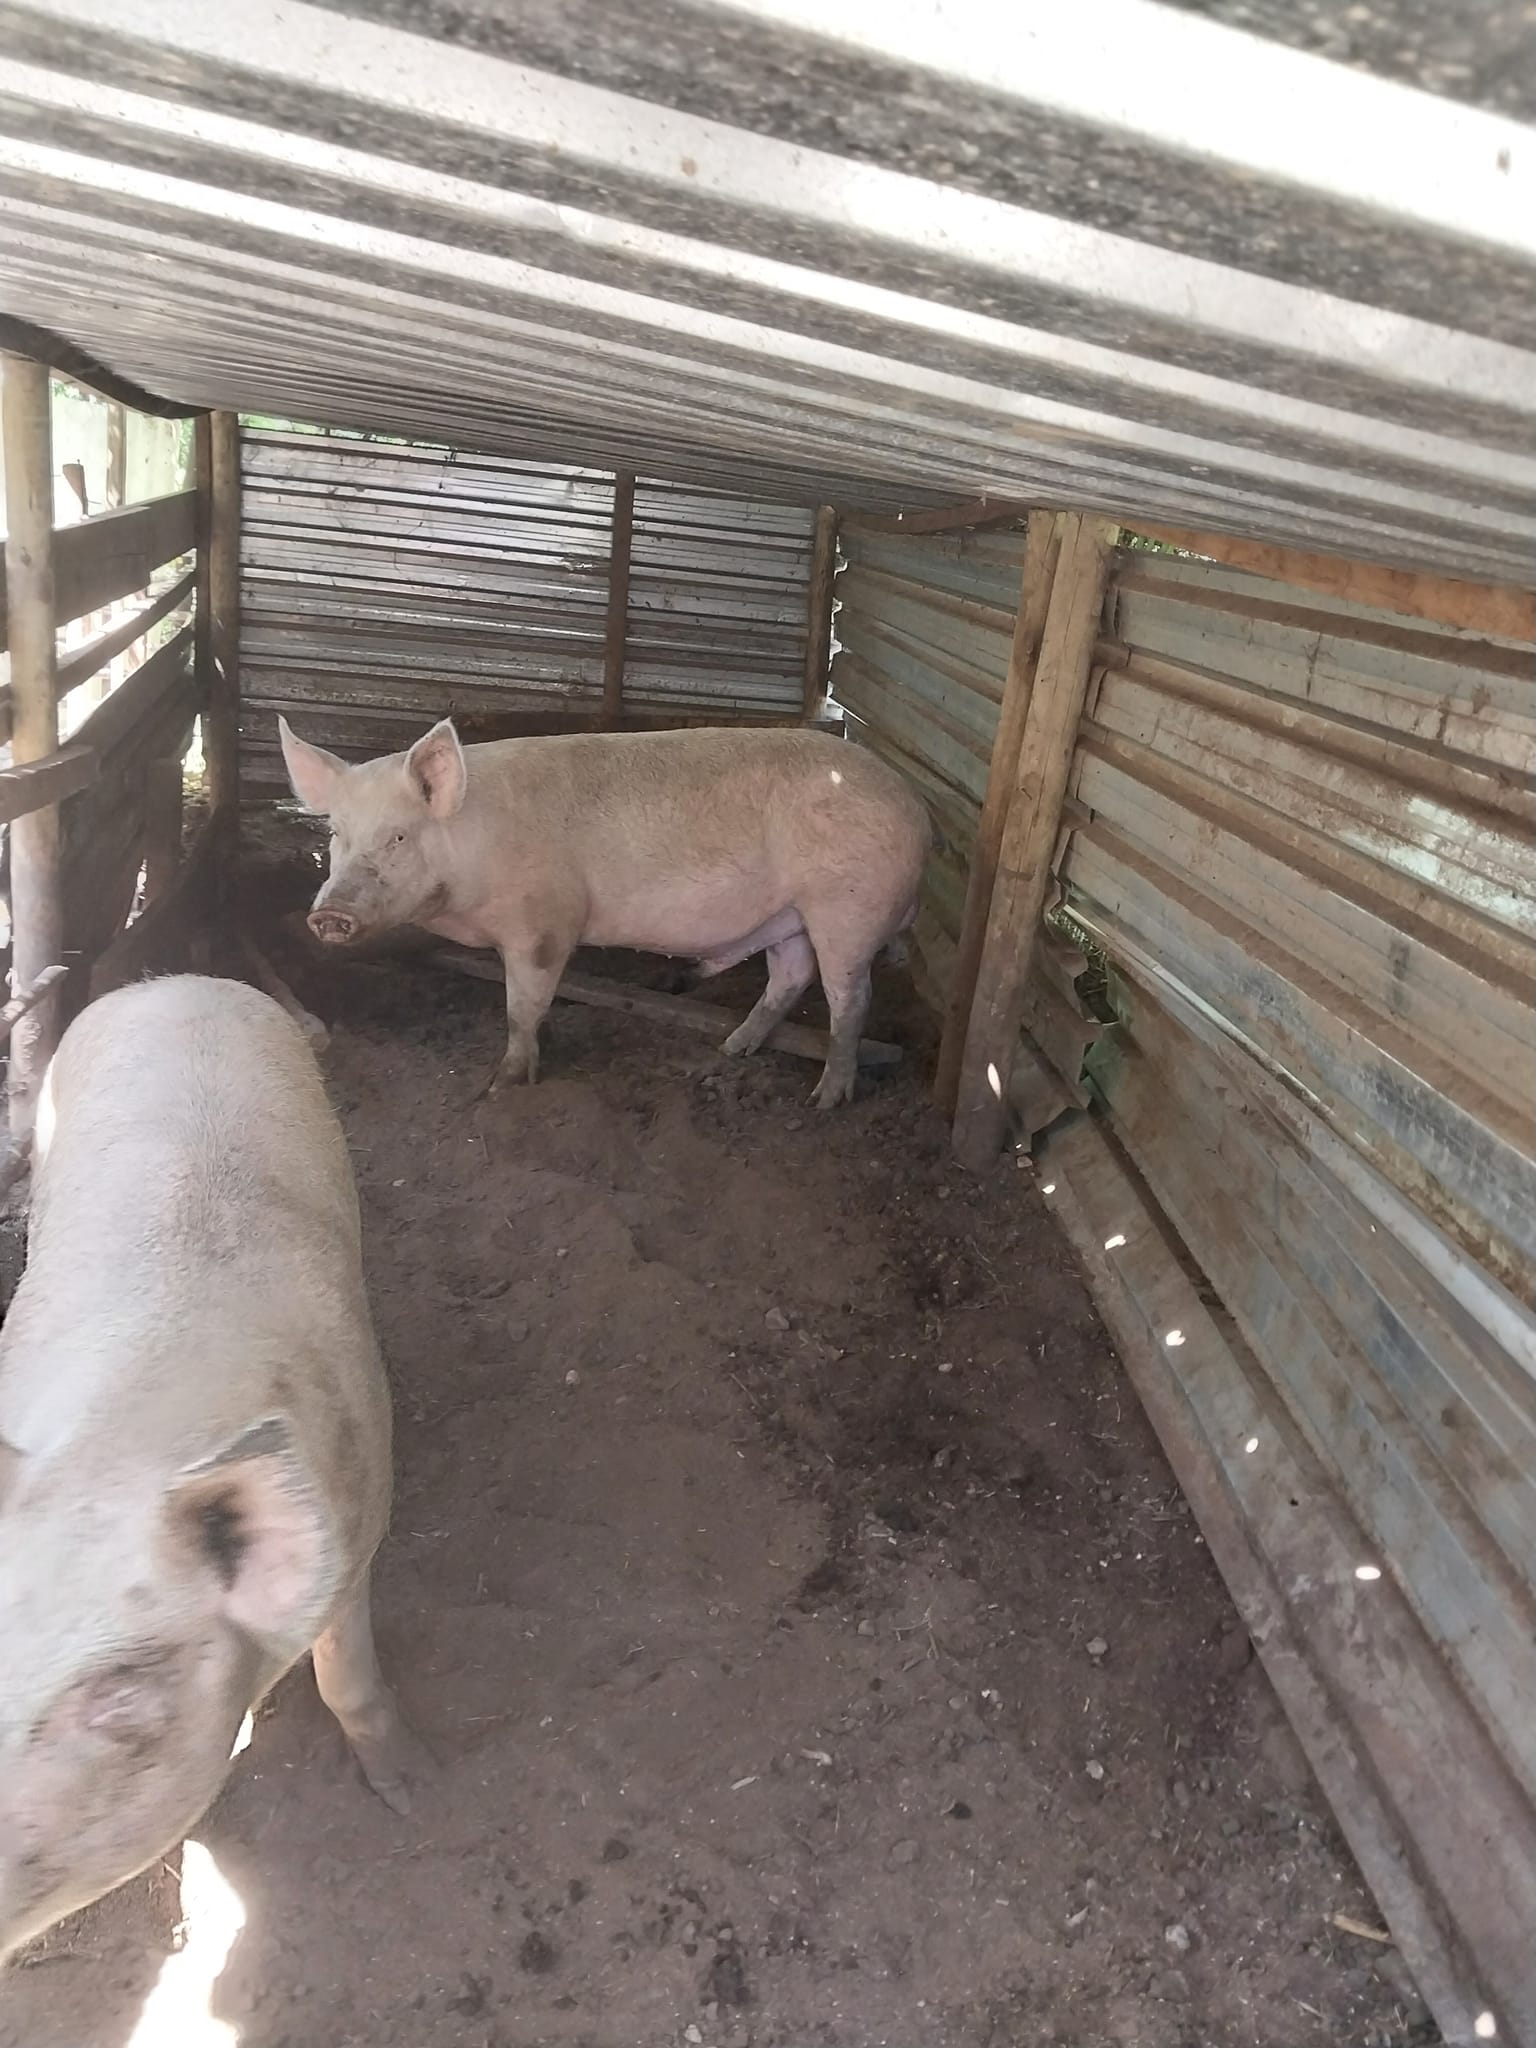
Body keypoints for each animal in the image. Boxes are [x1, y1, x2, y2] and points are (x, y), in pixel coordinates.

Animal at [0, 976, 427, 1965]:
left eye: (120, 1700)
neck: (122, 1446)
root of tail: (169, 983)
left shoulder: (360, 1515)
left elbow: (346, 1677)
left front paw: (411, 1793)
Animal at [279, 719, 931, 1108]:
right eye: (336, 833)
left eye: (398, 837)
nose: (327, 915)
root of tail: (915, 807)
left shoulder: (544, 923)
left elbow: (522, 1006)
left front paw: (504, 1083)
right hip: (788, 914)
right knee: (790, 975)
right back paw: (732, 1049)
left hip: (846, 909)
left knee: (851, 998)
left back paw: (825, 1098)